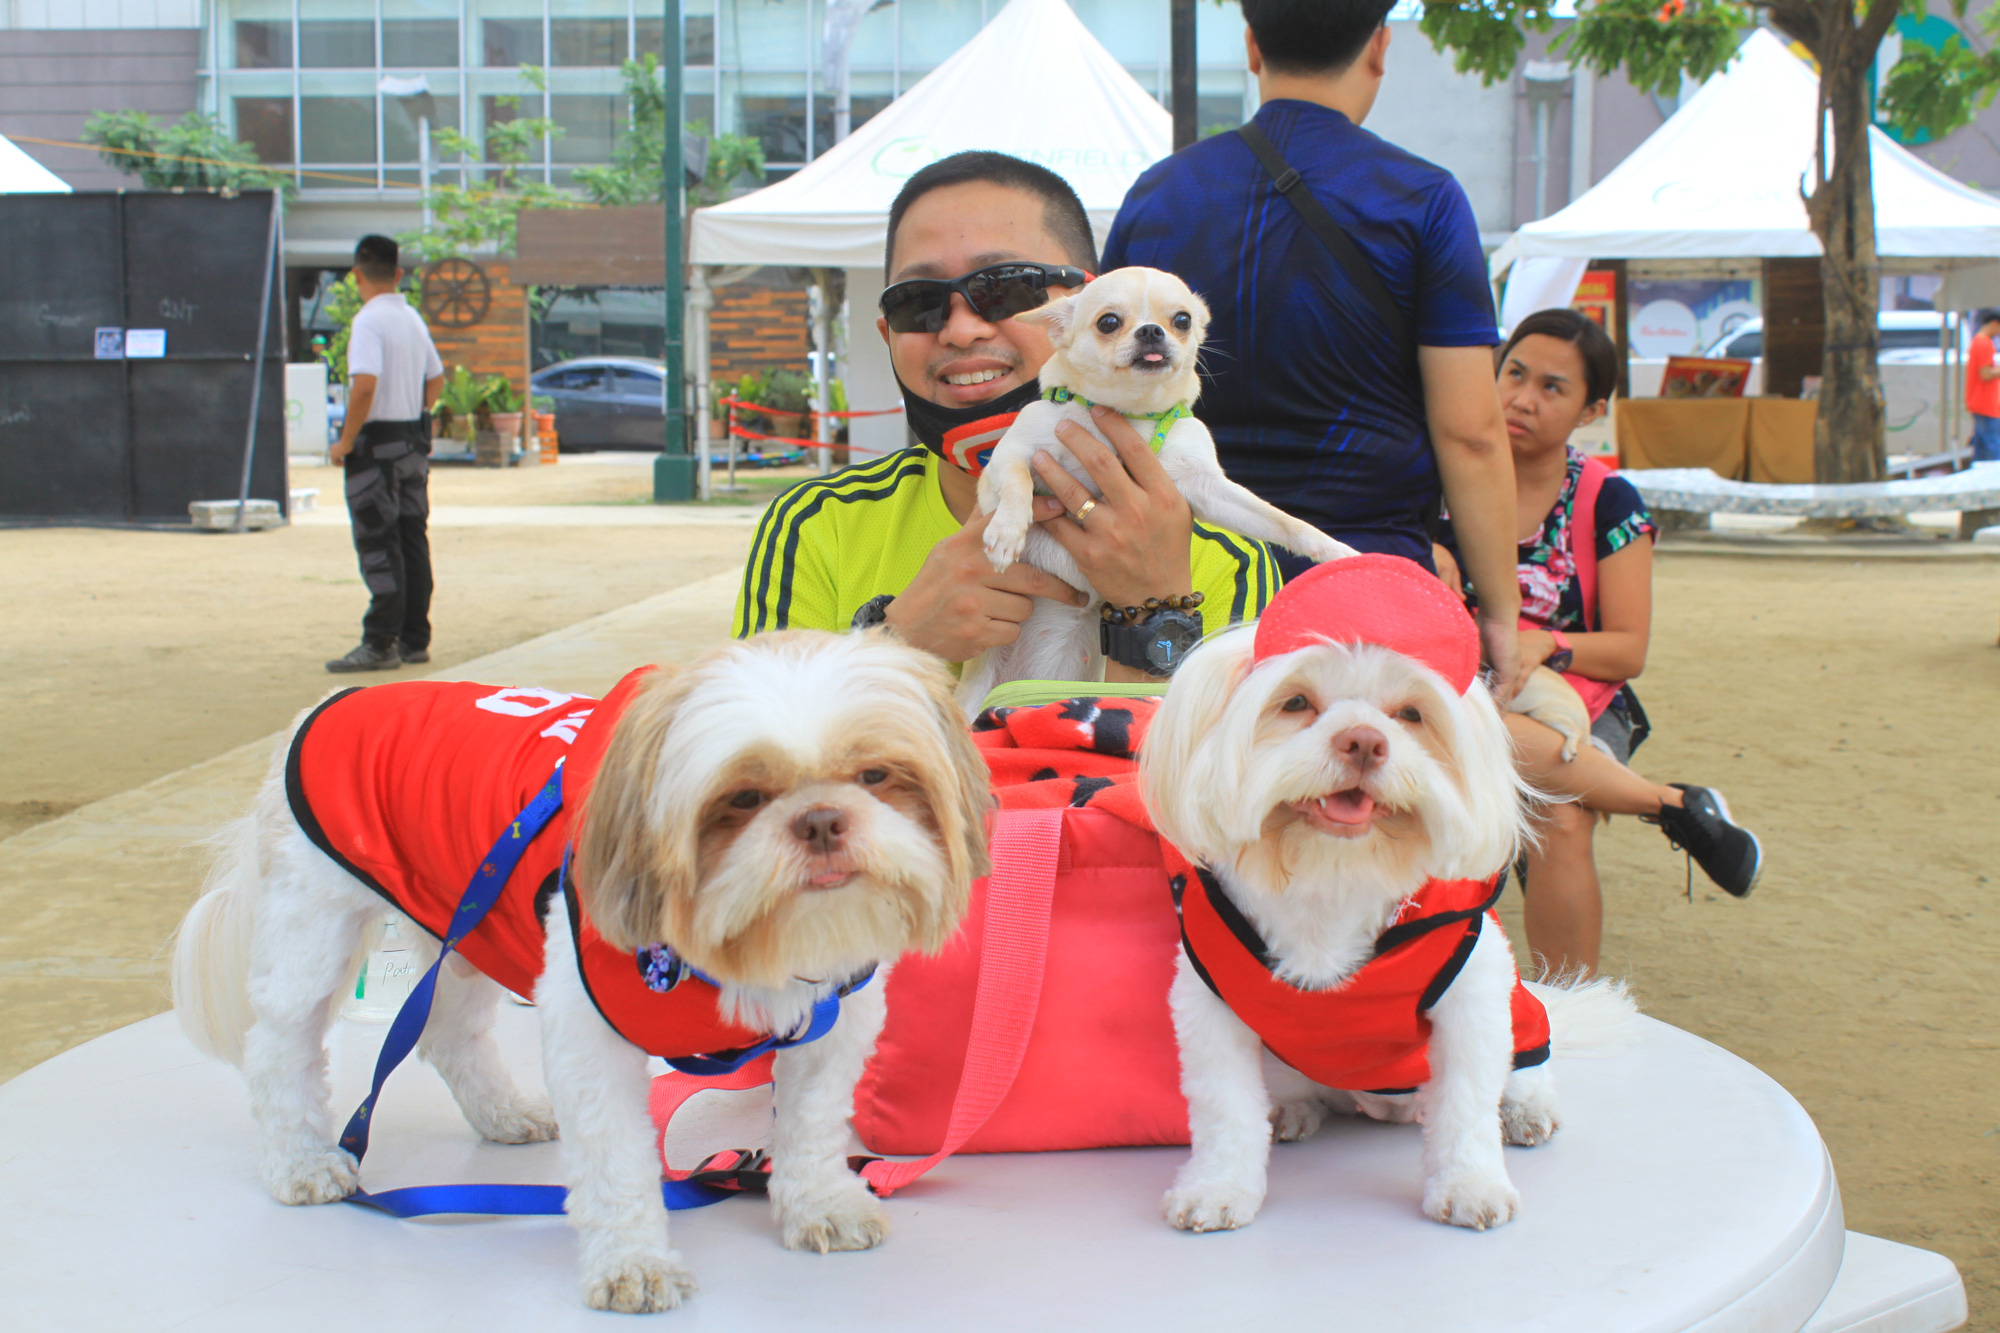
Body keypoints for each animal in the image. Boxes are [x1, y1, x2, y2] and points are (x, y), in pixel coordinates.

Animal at [170, 632, 992, 1304]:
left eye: (877, 774)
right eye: (742, 797)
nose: (821, 821)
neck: (742, 946)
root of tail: (325, 706)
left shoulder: (832, 1020)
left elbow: (814, 1124)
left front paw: (818, 1202)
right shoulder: (590, 1034)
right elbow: (617, 1158)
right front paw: (633, 1262)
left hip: (462, 918)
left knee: (448, 1033)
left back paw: (501, 1112)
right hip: (318, 921)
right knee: (281, 1045)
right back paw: (302, 1160)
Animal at [952, 264, 1360, 712]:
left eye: (1182, 320)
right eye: (1108, 322)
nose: (1151, 331)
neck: (1130, 417)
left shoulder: (1208, 488)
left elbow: (1282, 521)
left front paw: (1334, 551)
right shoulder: (1008, 459)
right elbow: (1018, 481)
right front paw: (1007, 531)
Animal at [1136, 556, 1632, 1232]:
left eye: (1411, 714)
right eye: (1296, 702)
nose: (1364, 742)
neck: (1333, 874)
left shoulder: (1473, 991)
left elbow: (1467, 1102)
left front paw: (1471, 1184)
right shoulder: (1210, 1004)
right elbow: (1224, 1108)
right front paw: (1217, 1187)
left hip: (1521, 1017)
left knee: (1525, 1066)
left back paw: (1526, 1110)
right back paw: (1292, 1109)